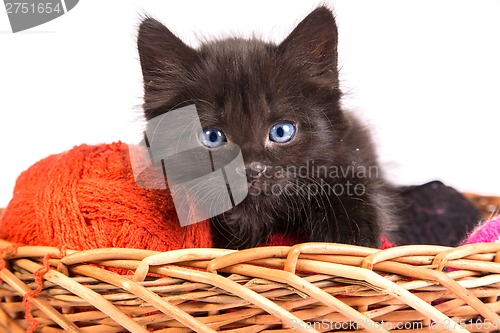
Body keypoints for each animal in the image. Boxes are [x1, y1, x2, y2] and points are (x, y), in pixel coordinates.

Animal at [137, 6, 394, 248]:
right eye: (212, 136)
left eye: (281, 132)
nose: (250, 170)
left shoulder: (349, 150)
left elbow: (347, 177)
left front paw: (348, 237)